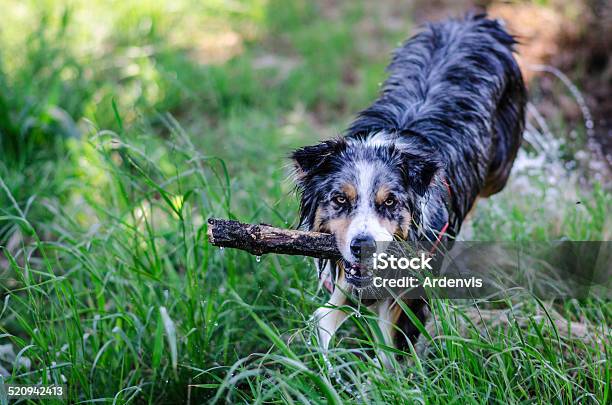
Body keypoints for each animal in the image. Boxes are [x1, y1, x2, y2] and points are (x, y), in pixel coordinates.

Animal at [292, 13, 524, 354]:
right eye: (340, 199)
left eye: (390, 201)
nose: (363, 246)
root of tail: (475, 19)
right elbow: (325, 317)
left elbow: (393, 347)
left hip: (500, 168)